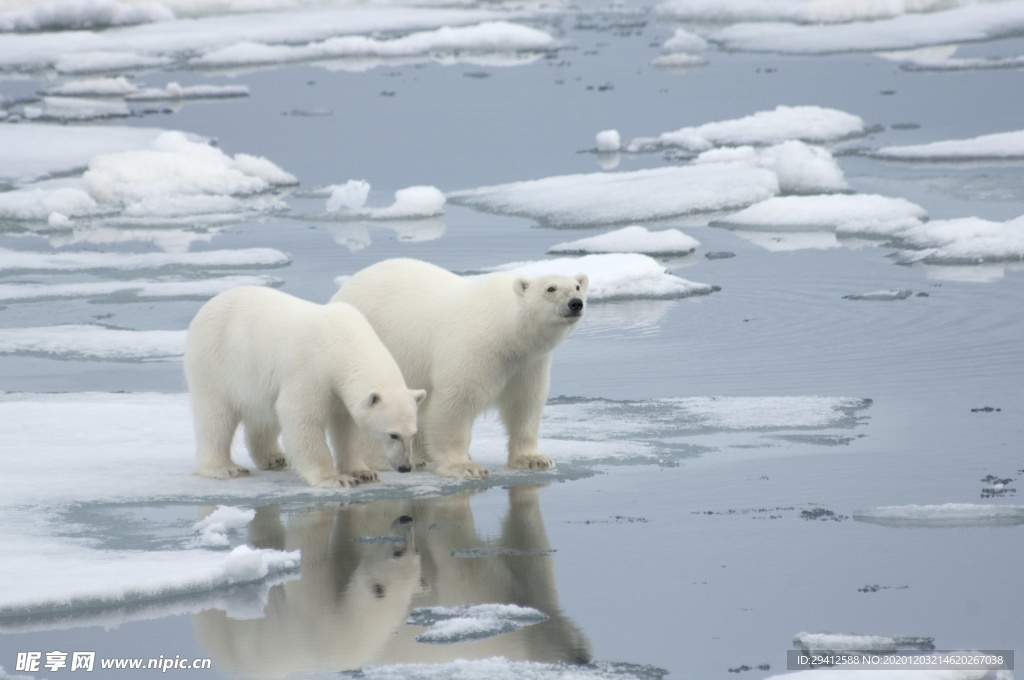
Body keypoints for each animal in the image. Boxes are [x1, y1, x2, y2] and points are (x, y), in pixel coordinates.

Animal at [184, 286, 423, 489]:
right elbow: (300, 415)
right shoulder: (311, 368)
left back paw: (274, 458)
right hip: (215, 362)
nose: (404, 467)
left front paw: (364, 473)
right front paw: (334, 478)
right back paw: (225, 468)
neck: (342, 341)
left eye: (413, 434)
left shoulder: (339, 390)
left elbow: (347, 427)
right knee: (215, 417)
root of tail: (209, 304)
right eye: (393, 434)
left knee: (263, 417)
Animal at [331, 259, 589, 477]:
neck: (506, 329)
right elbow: (456, 402)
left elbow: (524, 403)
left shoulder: (528, 363)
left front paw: (534, 459)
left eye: (577, 286)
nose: (576, 303)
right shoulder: (474, 347)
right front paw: (464, 466)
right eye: (551, 289)